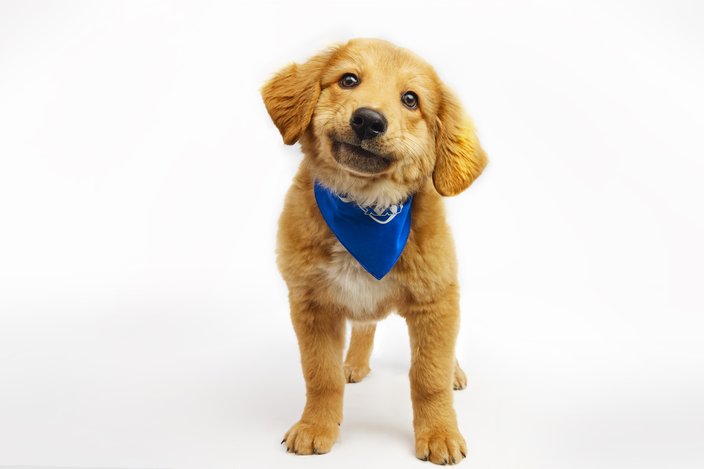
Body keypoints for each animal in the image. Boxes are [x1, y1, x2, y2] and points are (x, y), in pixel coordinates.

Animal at [262, 38, 486, 462]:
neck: (366, 209)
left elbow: (428, 376)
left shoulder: (436, 301)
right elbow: (320, 374)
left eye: (411, 100)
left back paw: (455, 373)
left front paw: (439, 433)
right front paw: (317, 426)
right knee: (365, 327)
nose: (368, 120)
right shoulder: (311, 304)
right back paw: (354, 363)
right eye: (348, 80)